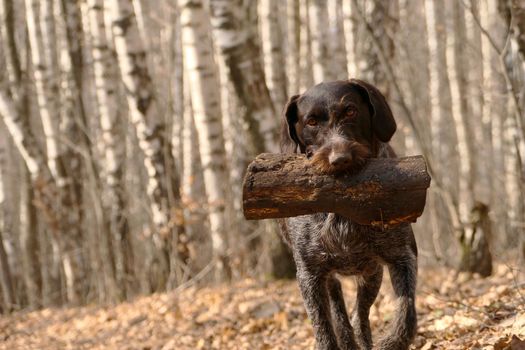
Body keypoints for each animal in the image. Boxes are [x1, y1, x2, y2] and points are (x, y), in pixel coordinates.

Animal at [278, 80, 418, 350]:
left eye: (351, 111)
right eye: (311, 122)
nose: (340, 158)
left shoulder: (402, 256)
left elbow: (406, 315)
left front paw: (390, 342)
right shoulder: (309, 275)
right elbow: (324, 329)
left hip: (371, 273)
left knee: (359, 313)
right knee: (339, 310)